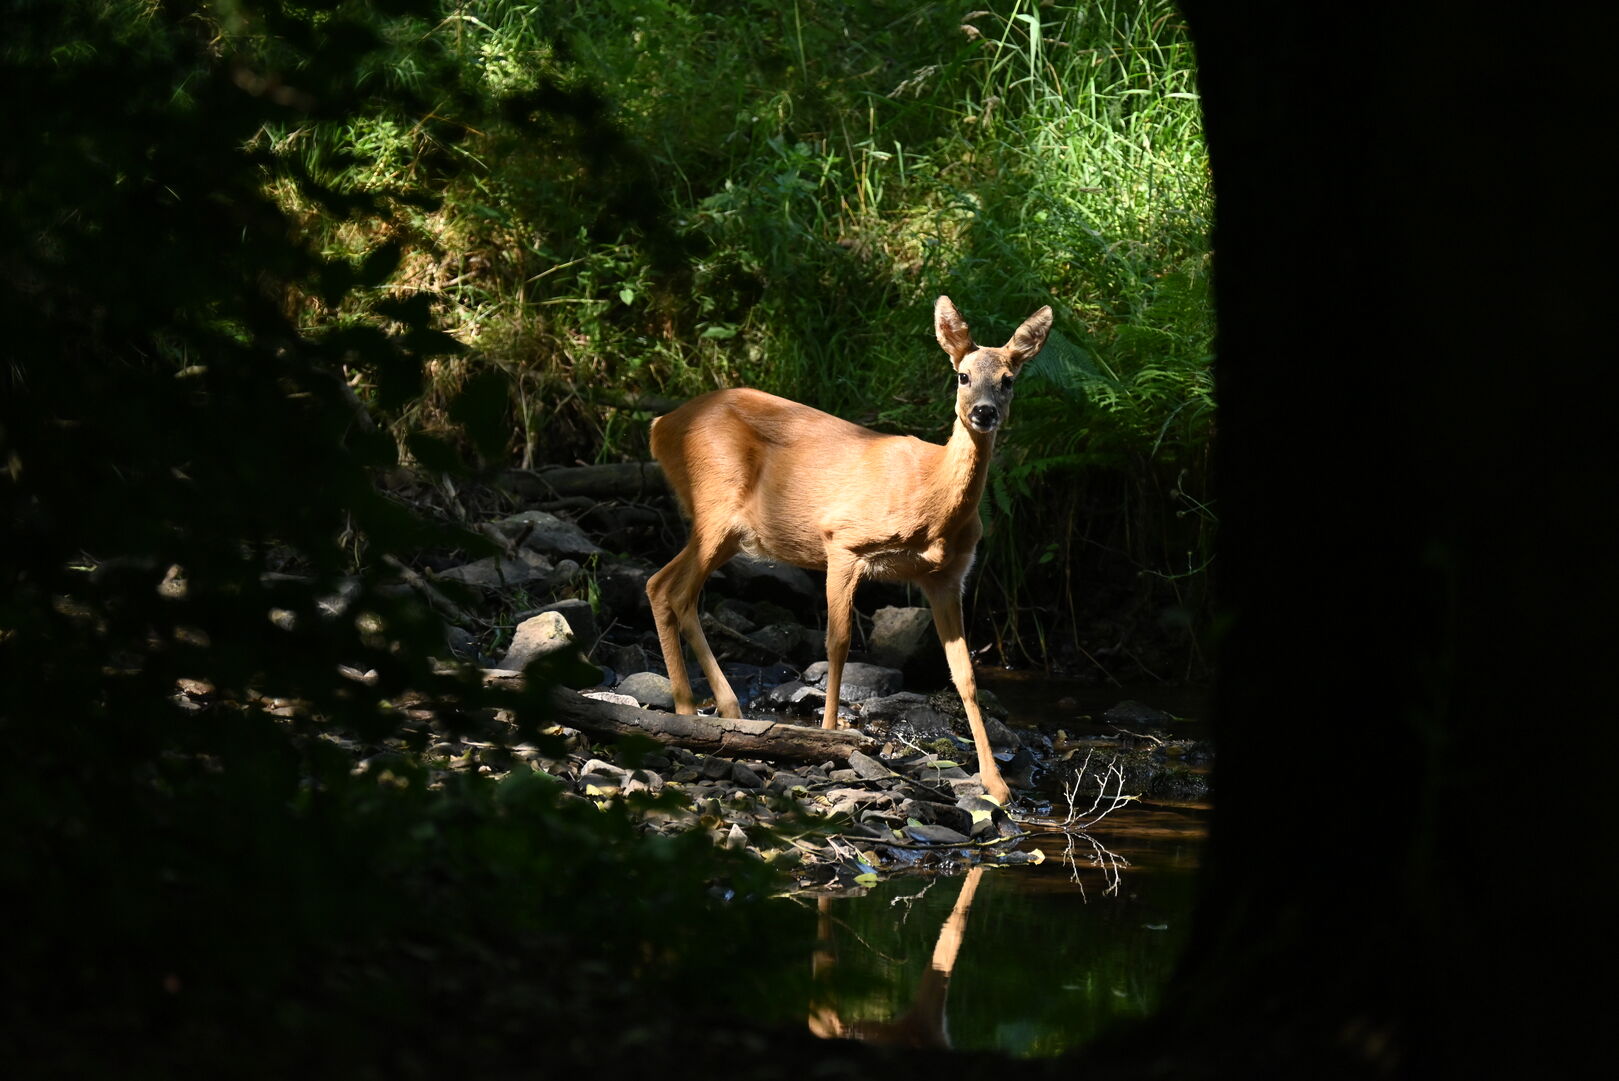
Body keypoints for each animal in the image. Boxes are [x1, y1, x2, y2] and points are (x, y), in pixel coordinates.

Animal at [645, 296, 1053, 806]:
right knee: (671, 588)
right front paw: (827, 736)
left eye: (1008, 379)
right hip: (714, 508)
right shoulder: (843, 542)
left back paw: (716, 708)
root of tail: (661, 425)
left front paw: (996, 785)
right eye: (962, 375)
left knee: (667, 587)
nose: (983, 412)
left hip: (729, 530)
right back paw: (692, 710)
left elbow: (965, 674)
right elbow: (837, 643)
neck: (930, 498)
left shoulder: (946, 577)